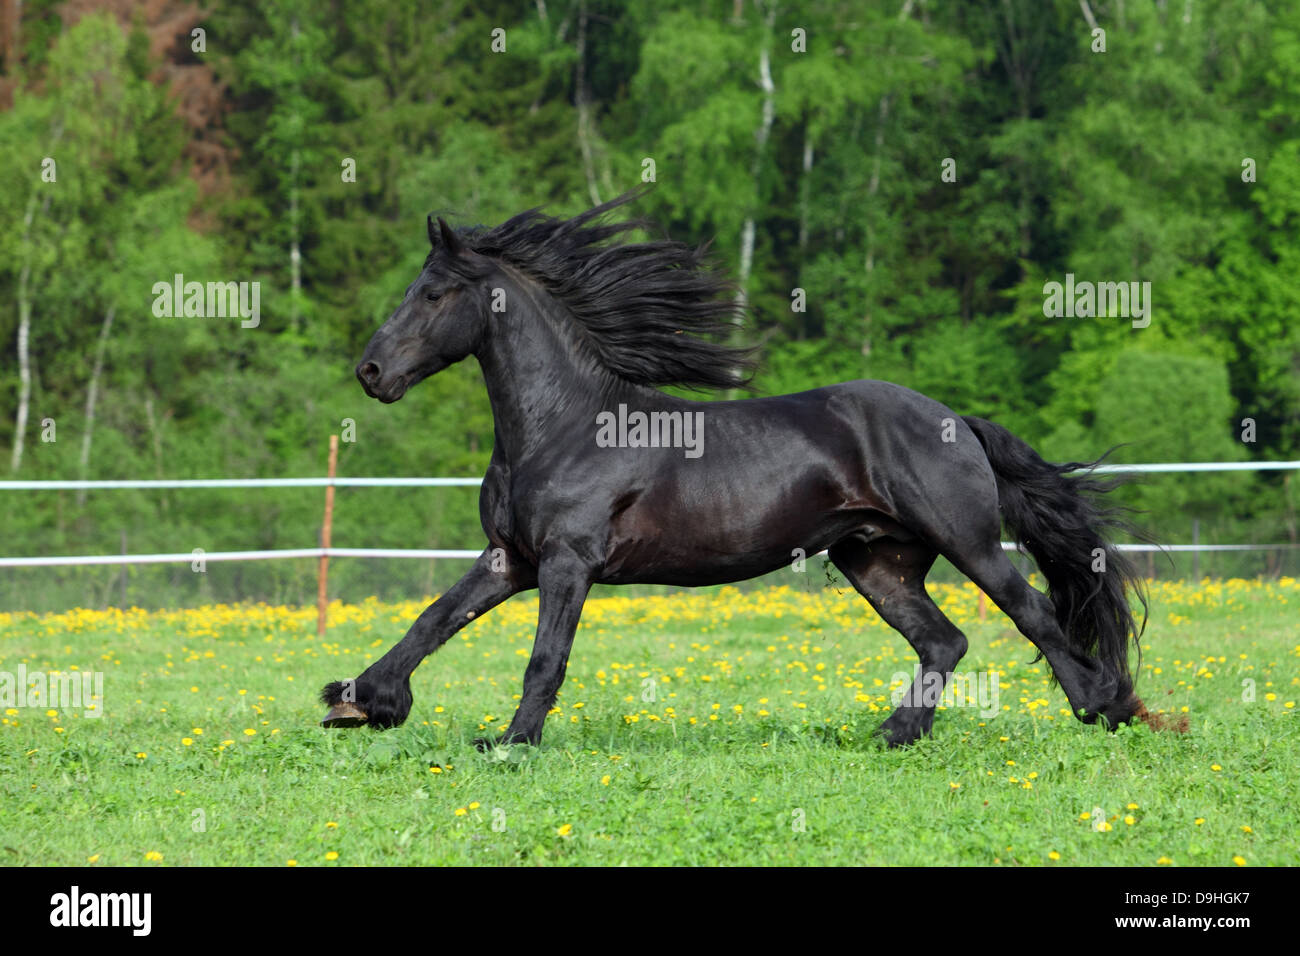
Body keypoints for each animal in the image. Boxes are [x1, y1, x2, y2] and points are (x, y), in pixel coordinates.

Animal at [321, 189, 1174, 750]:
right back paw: (894, 732)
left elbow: (543, 659)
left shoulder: (567, 561)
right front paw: (359, 702)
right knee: (945, 641)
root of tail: (956, 419)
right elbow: (432, 620)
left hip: (967, 543)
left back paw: (1108, 707)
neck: (561, 425)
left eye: (434, 293)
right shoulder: (511, 559)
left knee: (1030, 615)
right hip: (875, 560)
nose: (370, 372)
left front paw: (511, 741)